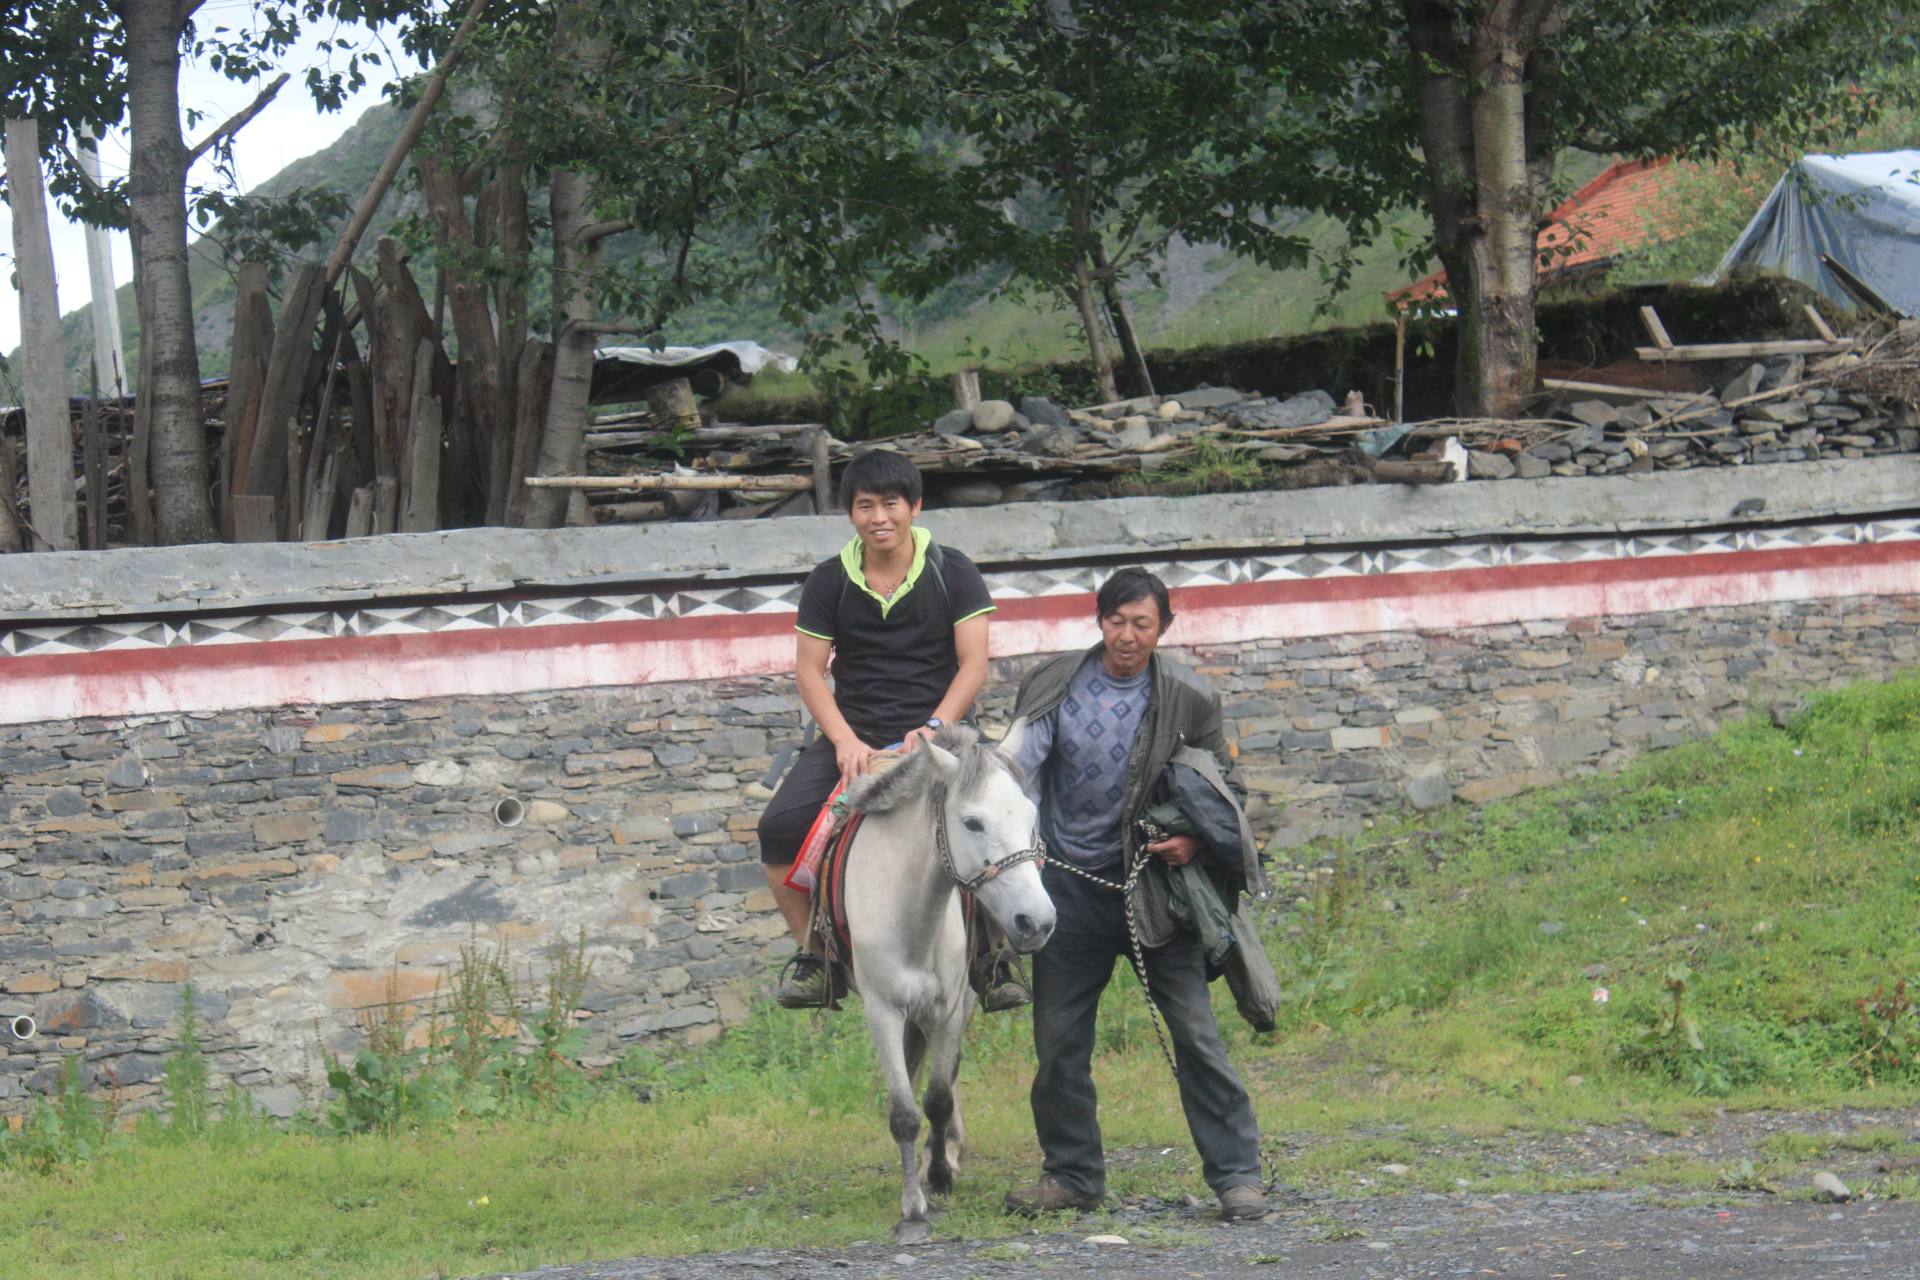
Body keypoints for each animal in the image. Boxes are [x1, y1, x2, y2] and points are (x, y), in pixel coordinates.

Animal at [840, 725, 1052, 1243]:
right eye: (972, 822)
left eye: (1031, 814)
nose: (1037, 922)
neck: (910, 909)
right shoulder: (881, 1011)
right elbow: (904, 1112)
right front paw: (913, 1205)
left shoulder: (952, 1007)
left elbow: (938, 1097)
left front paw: (938, 1175)